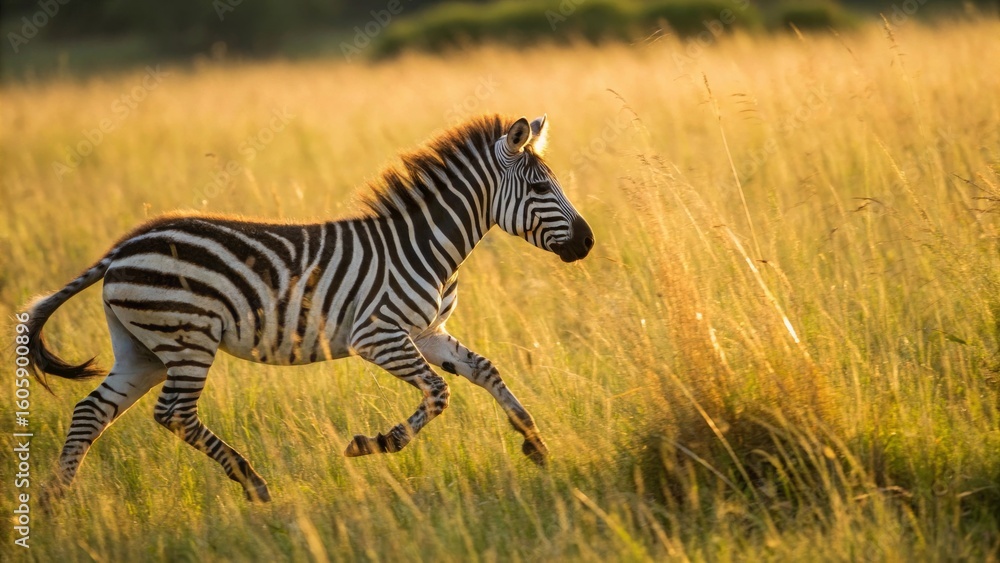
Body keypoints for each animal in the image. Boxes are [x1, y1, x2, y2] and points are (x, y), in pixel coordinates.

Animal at [25, 114, 594, 503]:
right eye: (540, 186)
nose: (588, 242)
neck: (424, 245)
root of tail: (122, 248)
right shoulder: (378, 336)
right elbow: (438, 393)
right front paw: (374, 442)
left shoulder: (427, 331)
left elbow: (485, 371)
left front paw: (535, 444)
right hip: (187, 339)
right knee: (174, 413)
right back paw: (253, 483)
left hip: (142, 350)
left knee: (91, 411)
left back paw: (55, 503)